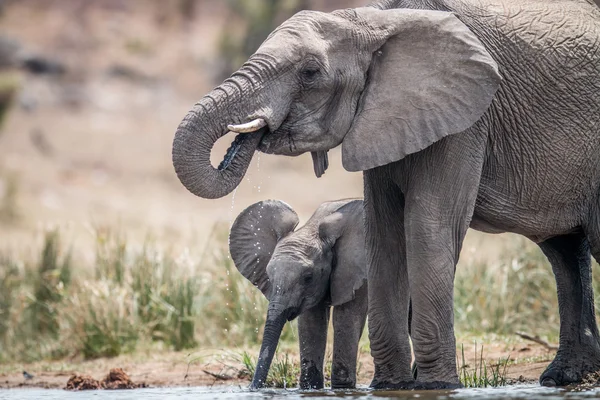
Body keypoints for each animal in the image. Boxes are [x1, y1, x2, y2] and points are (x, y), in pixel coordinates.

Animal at [230, 198, 368, 390]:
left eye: (308, 277)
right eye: (269, 276)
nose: (253, 388)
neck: (312, 229)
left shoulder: (357, 272)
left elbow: (347, 317)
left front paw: (343, 388)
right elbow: (311, 323)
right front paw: (310, 388)